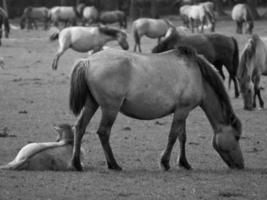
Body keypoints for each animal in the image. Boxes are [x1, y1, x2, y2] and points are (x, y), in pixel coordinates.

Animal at [68, 46, 245, 171]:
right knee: (103, 132)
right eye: (237, 137)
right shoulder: (182, 111)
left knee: (80, 128)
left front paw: (184, 163)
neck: (198, 77)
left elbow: (182, 136)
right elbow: (173, 136)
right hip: (110, 108)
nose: (240, 165)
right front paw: (165, 163)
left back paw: (77, 164)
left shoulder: (183, 110)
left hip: (92, 104)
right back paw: (114, 164)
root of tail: (87, 61)